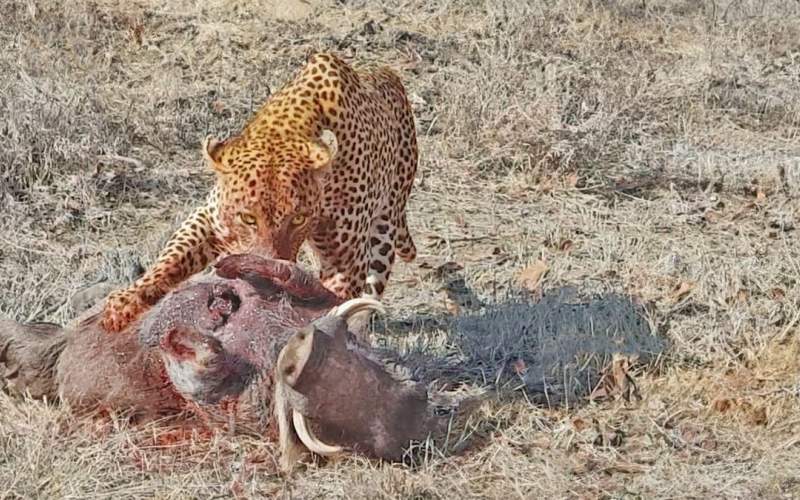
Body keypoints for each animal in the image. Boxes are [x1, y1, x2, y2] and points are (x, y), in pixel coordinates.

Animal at [101, 52, 418, 332]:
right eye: (248, 219)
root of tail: (387, 73)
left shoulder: (345, 260)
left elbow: (330, 300)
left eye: (298, 218)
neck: (286, 129)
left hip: (385, 226)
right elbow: (171, 259)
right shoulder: (210, 218)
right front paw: (126, 301)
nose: (265, 279)